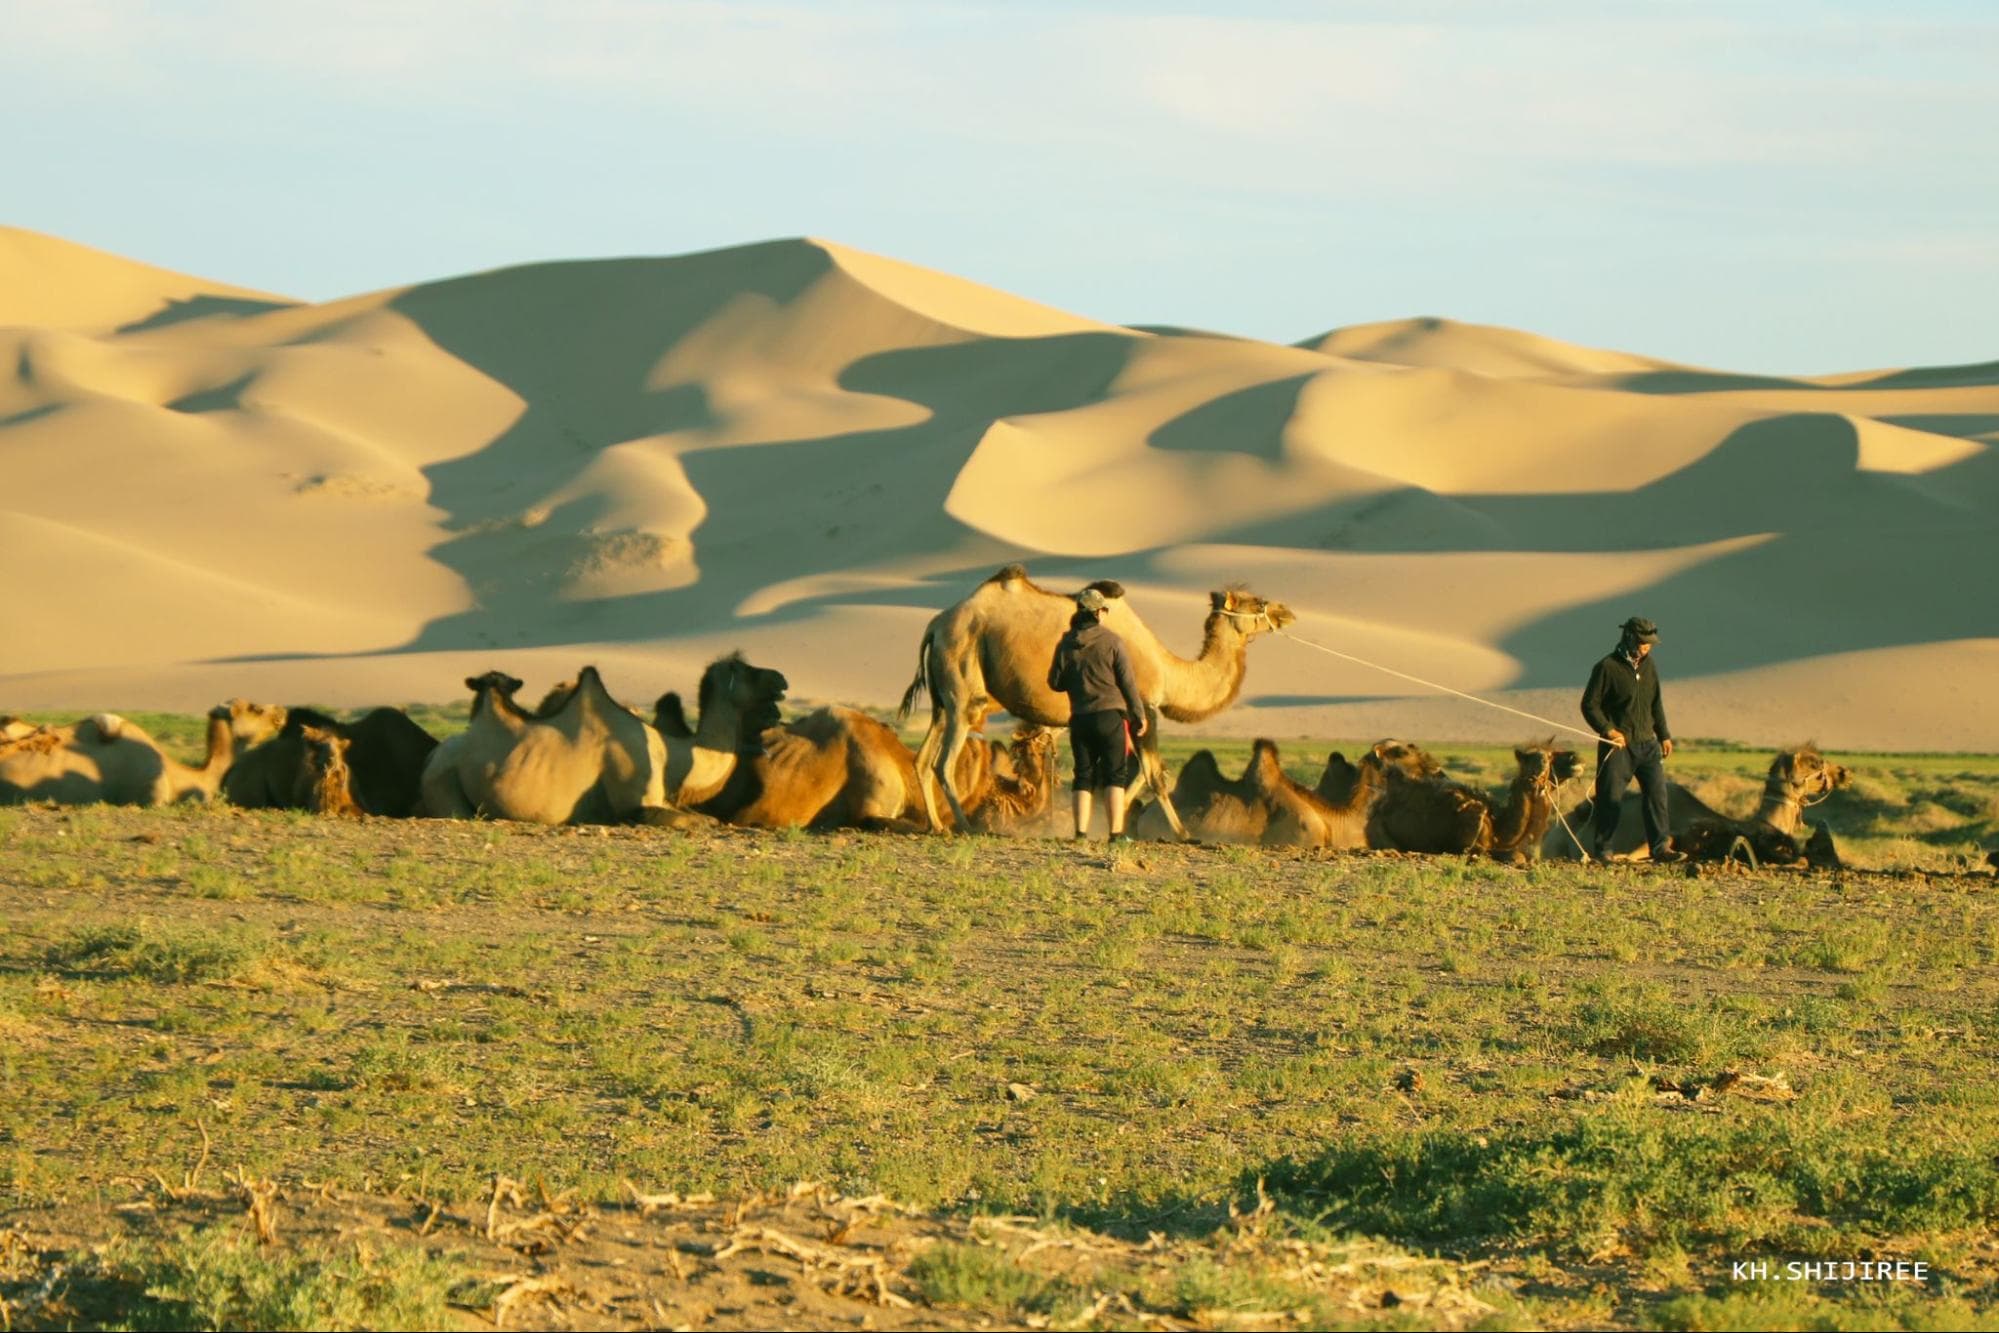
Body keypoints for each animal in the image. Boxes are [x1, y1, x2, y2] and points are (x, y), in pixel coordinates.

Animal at [895, 563, 1295, 835]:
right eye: (1257, 602)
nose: (1287, 612)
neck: (1168, 672)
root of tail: (936, 625)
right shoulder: (1144, 707)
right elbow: (1155, 774)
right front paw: (1183, 833)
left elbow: (1137, 774)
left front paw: (1116, 822)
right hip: (964, 691)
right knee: (944, 761)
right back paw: (964, 825)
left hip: (942, 702)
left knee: (923, 759)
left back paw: (935, 824)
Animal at [1367, 747, 1583, 859]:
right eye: (1550, 755)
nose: (1576, 757)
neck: (1498, 829)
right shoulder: (1468, 846)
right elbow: (1513, 855)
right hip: (1379, 831)